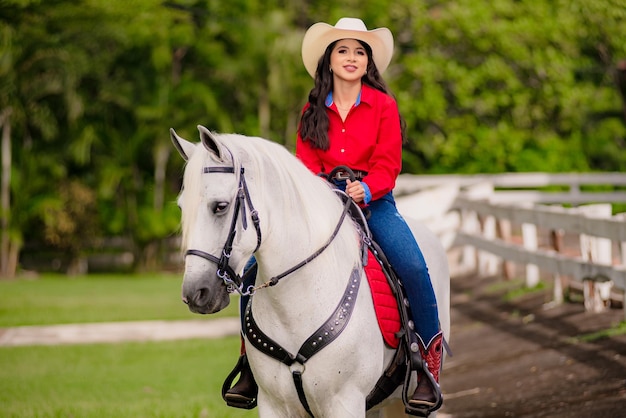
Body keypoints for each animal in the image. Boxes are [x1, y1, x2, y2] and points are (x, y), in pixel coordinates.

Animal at [171, 125, 448, 416]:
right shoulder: (274, 405)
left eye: (220, 206)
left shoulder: (345, 402)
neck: (297, 304)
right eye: (181, 207)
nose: (195, 293)